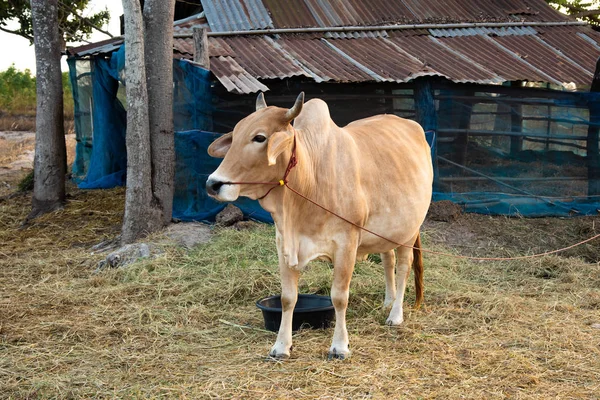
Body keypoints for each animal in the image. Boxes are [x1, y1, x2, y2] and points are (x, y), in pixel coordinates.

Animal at [206, 93, 432, 360]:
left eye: (259, 137)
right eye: (236, 134)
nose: (213, 184)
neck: (309, 180)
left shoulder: (346, 243)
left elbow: (339, 297)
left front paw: (340, 346)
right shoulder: (283, 243)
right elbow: (288, 298)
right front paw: (281, 347)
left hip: (408, 231)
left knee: (404, 267)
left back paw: (395, 314)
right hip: (385, 232)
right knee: (389, 260)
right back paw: (388, 301)